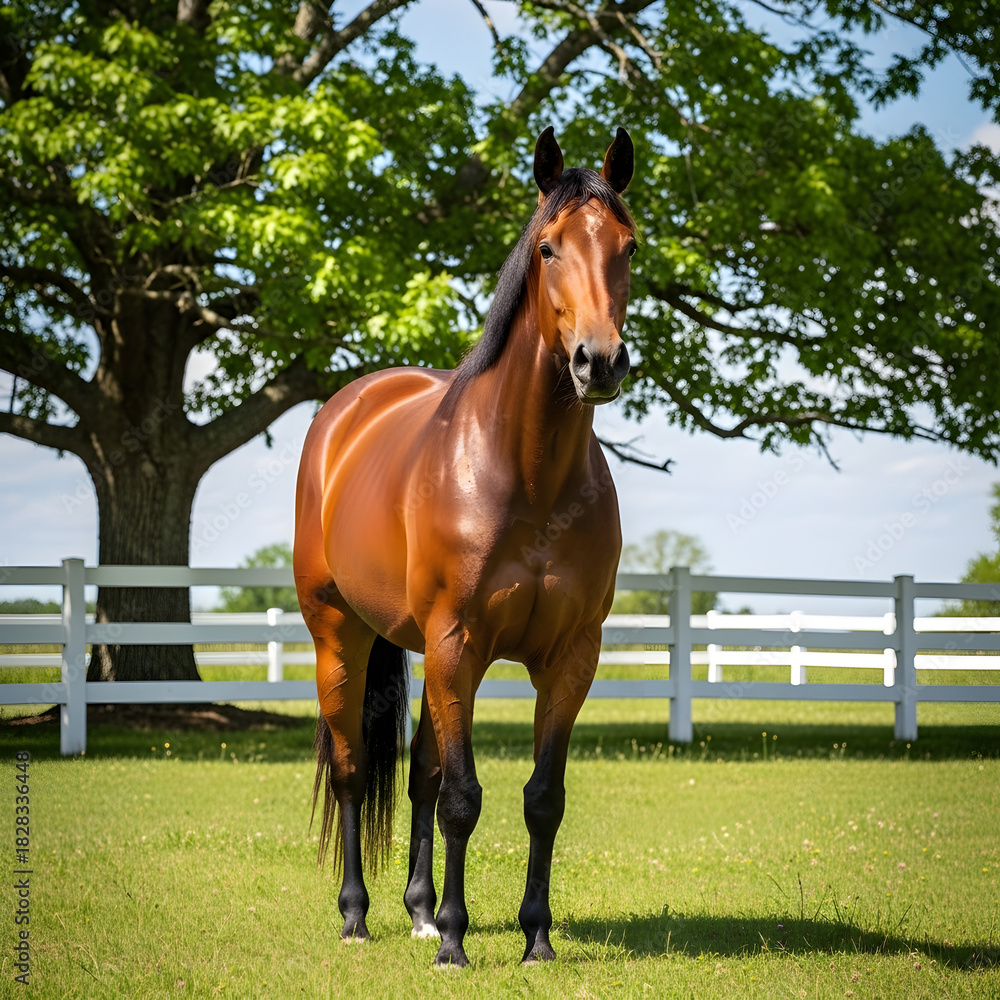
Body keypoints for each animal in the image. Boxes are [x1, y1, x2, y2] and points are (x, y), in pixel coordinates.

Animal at [293, 125, 636, 967]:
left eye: (629, 247)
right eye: (547, 247)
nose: (599, 360)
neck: (528, 474)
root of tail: (346, 411)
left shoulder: (571, 657)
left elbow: (540, 799)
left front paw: (535, 937)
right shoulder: (459, 644)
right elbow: (461, 797)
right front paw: (454, 940)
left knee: (416, 771)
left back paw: (416, 911)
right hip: (341, 638)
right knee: (354, 772)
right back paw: (358, 916)